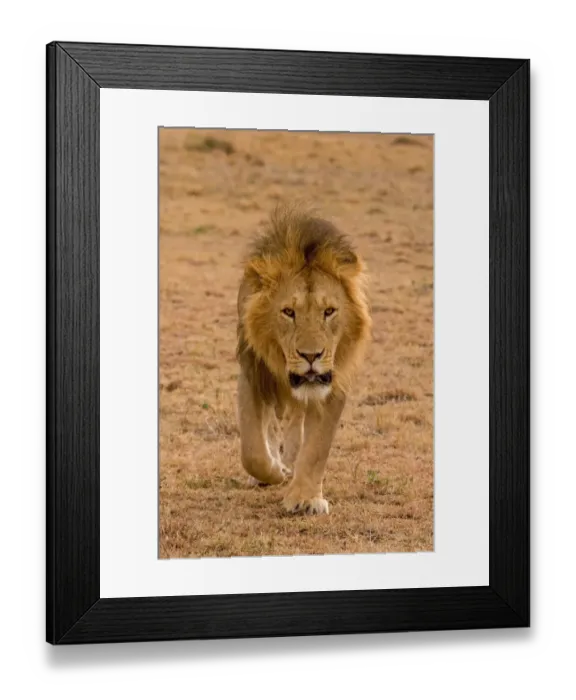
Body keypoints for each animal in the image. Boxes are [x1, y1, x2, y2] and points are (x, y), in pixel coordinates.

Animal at [236, 206, 372, 515]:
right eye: (288, 312)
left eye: (329, 311)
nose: (311, 356)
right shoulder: (253, 370)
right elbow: (253, 450)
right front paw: (273, 472)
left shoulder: (332, 381)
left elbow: (318, 447)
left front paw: (305, 499)